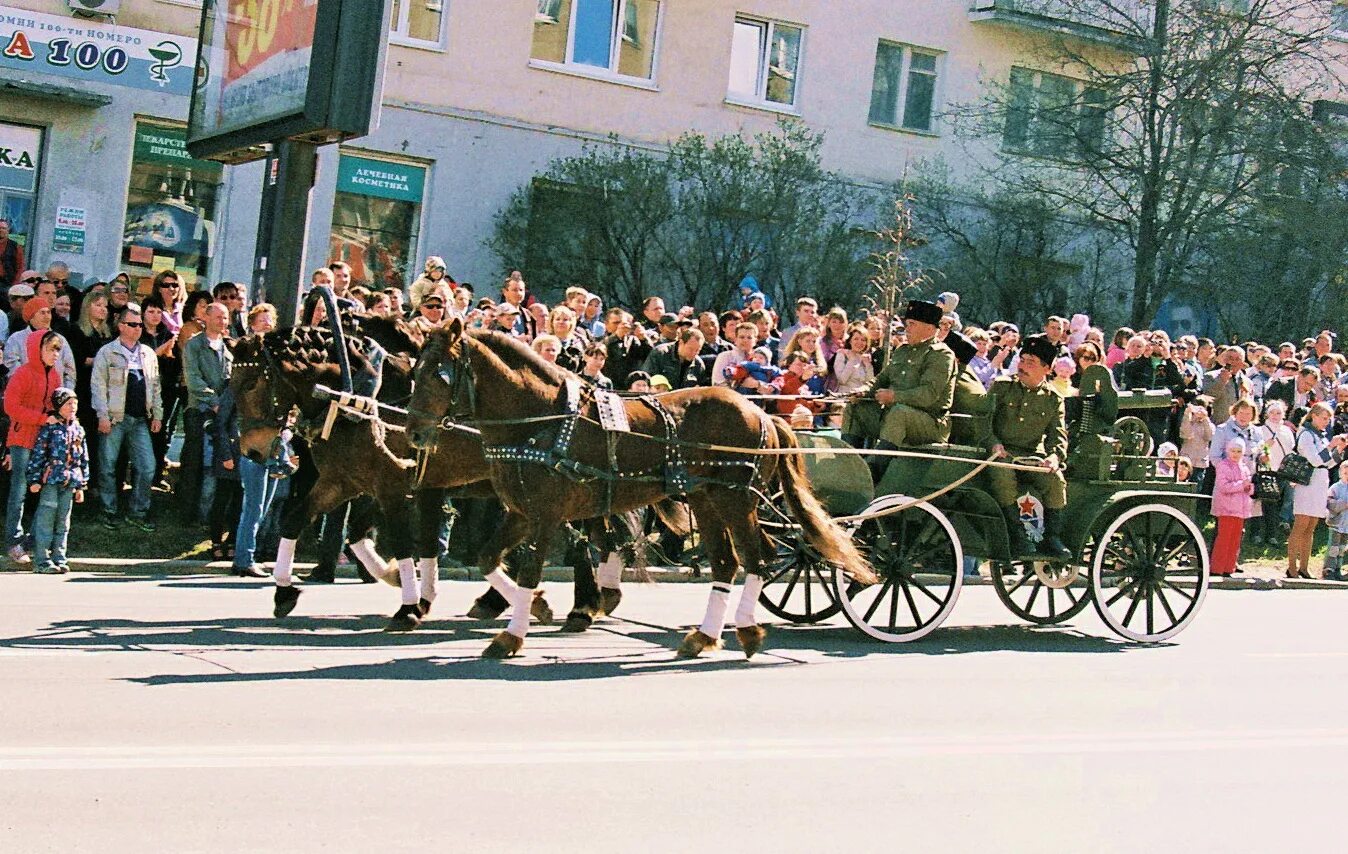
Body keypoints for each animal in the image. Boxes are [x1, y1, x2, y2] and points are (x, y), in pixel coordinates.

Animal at [230, 316, 625, 627]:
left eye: (250, 383)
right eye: (230, 383)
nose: (251, 450)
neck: (357, 397)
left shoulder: (390, 487)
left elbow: (405, 542)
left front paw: (408, 605)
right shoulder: (343, 482)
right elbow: (308, 523)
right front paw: (285, 592)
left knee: (585, 535)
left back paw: (583, 603)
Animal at [404, 319, 878, 657]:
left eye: (438, 375)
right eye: (413, 370)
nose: (413, 434)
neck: (540, 418)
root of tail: (762, 413)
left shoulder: (545, 514)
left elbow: (529, 569)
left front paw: (513, 634)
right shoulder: (520, 512)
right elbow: (488, 557)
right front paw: (534, 605)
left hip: (735, 498)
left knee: (756, 557)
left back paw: (746, 630)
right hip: (706, 500)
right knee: (726, 563)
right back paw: (703, 636)